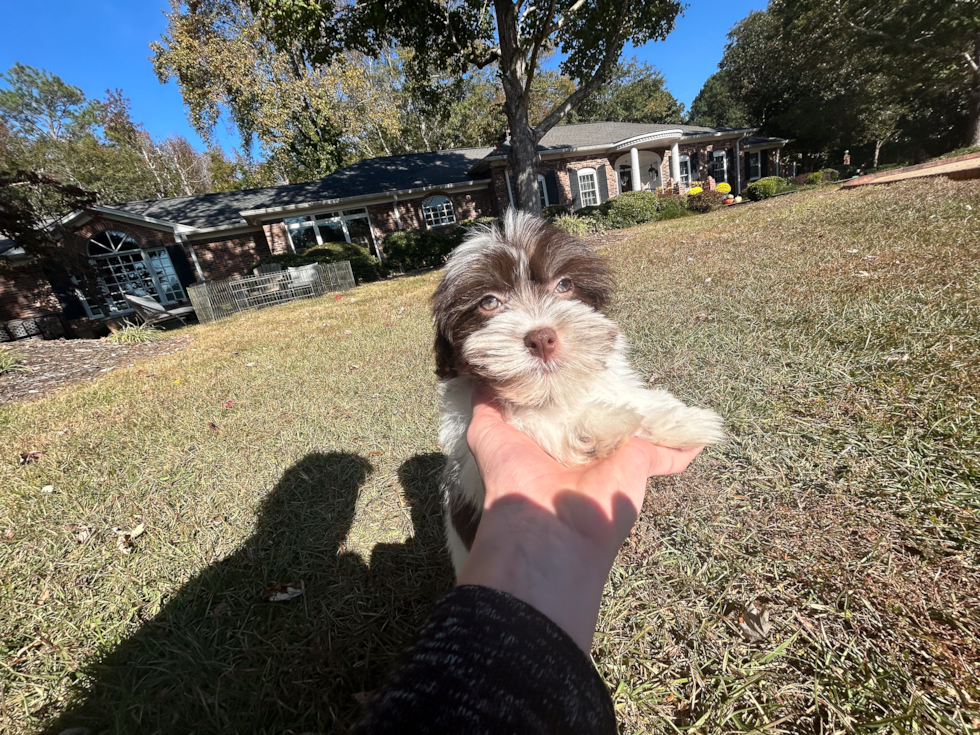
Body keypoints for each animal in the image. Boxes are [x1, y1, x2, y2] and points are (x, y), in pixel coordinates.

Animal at [432, 208, 724, 576]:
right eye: (489, 302)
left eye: (564, 285)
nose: (541, 338)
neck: (553, 388)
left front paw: (682, 419)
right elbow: (532, 419)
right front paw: (604, 423)